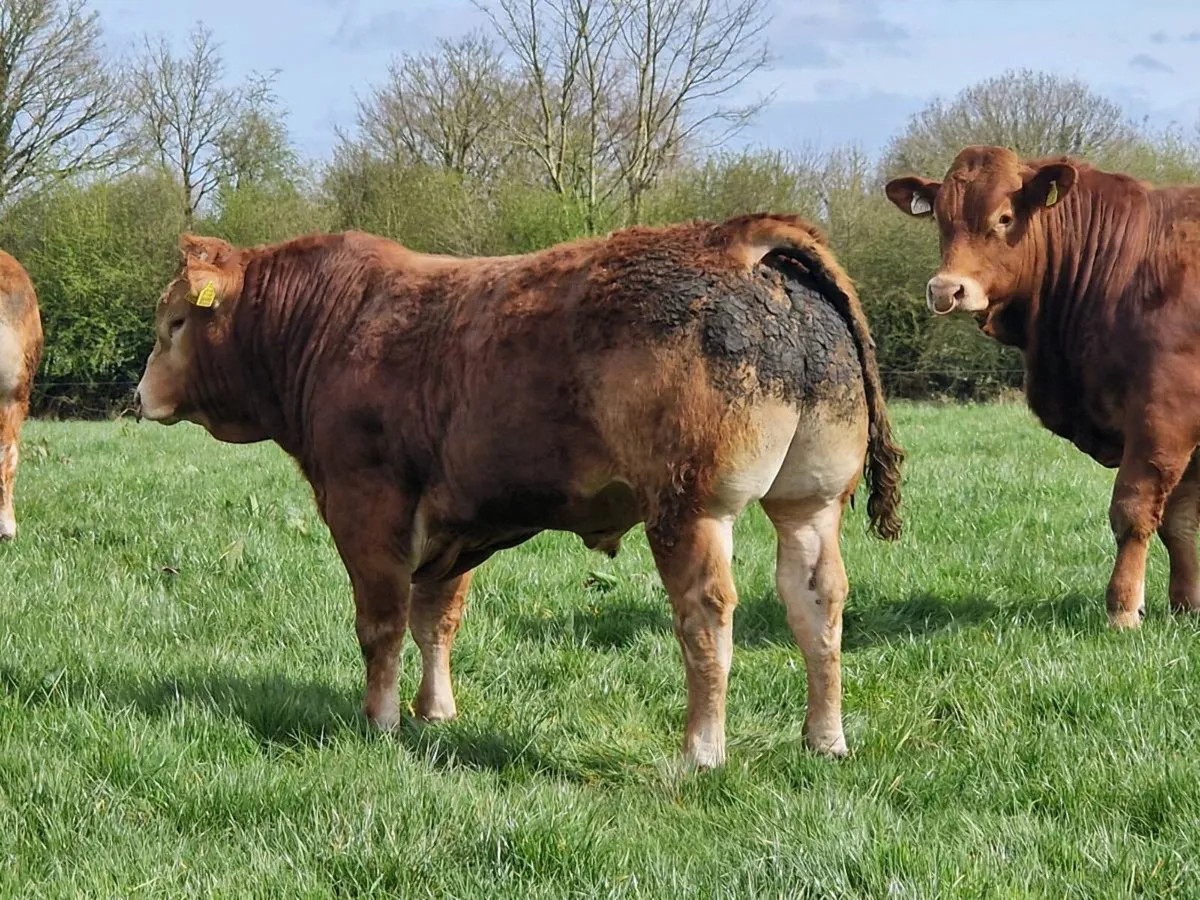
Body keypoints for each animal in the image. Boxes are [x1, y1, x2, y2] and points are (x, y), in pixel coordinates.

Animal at [133, 215, 903, 768]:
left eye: (174, 323)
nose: (138, 395)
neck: (330, 325)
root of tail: (739, 239)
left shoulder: (366, 504)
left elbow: (381, 624)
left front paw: (380, 721)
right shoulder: (452, 523)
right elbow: (436, 618)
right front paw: (435, 712)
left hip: (690, 507)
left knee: (706, 615)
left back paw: (701, 752)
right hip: (809, 500)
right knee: (817, 601)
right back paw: (825, 739)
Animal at [886, 144, 1200, 630]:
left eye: (1004, 217)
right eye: (940, 217)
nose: (945, 290)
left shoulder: (1164, 418)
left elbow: (1133, 512)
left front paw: (1123, 610)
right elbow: (1180, 521)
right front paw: (1187, 606)